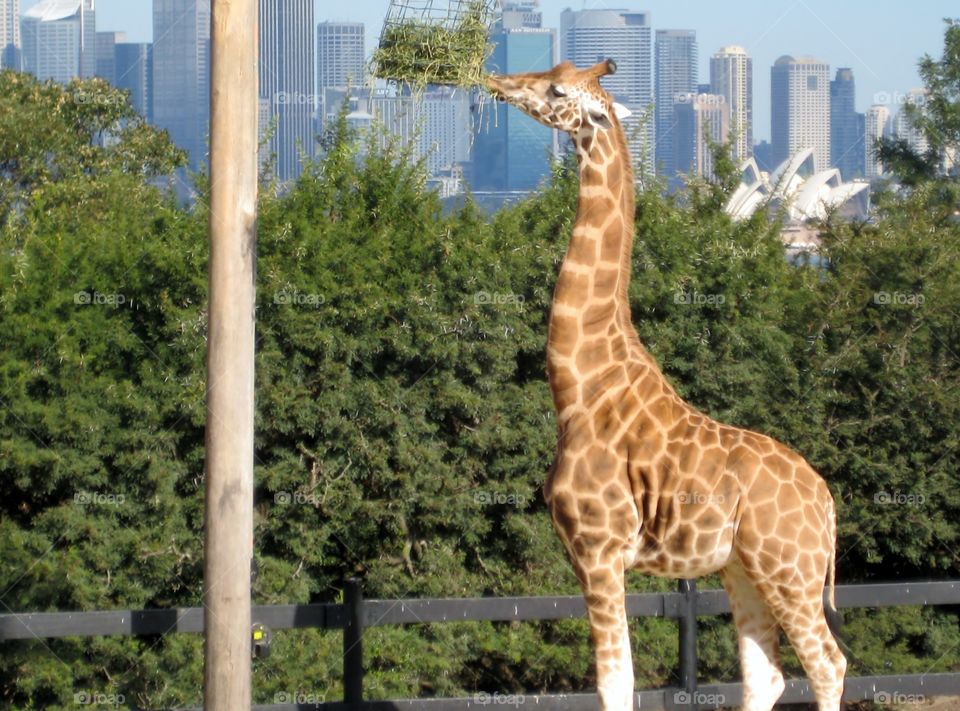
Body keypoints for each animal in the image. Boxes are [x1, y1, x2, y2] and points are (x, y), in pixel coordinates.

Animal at [488, 61, 848, 711]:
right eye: (552, 72)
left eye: (557, 90)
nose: (497, 82)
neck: (580, 388)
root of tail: (828, 504)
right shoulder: (598, 556)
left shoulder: (600, 550)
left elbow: (615, 681)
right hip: (743, 569)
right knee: (767, 674)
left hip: (791, 570)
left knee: (828, 665)